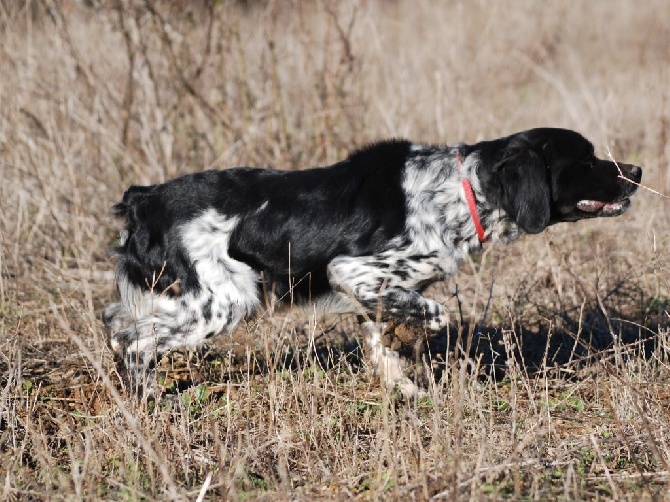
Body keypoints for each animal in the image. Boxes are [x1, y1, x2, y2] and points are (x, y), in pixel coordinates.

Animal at [105, 127, 644, 394]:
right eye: (587, 159)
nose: (637, 170)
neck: (461, 189)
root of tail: (145, 196)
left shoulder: (378, 290)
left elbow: (385, 344)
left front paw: (408, 390)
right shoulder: (353, 271)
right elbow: (432, 315)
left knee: (117, 321)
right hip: (227, 300)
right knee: (133, 339)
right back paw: (146, 401)